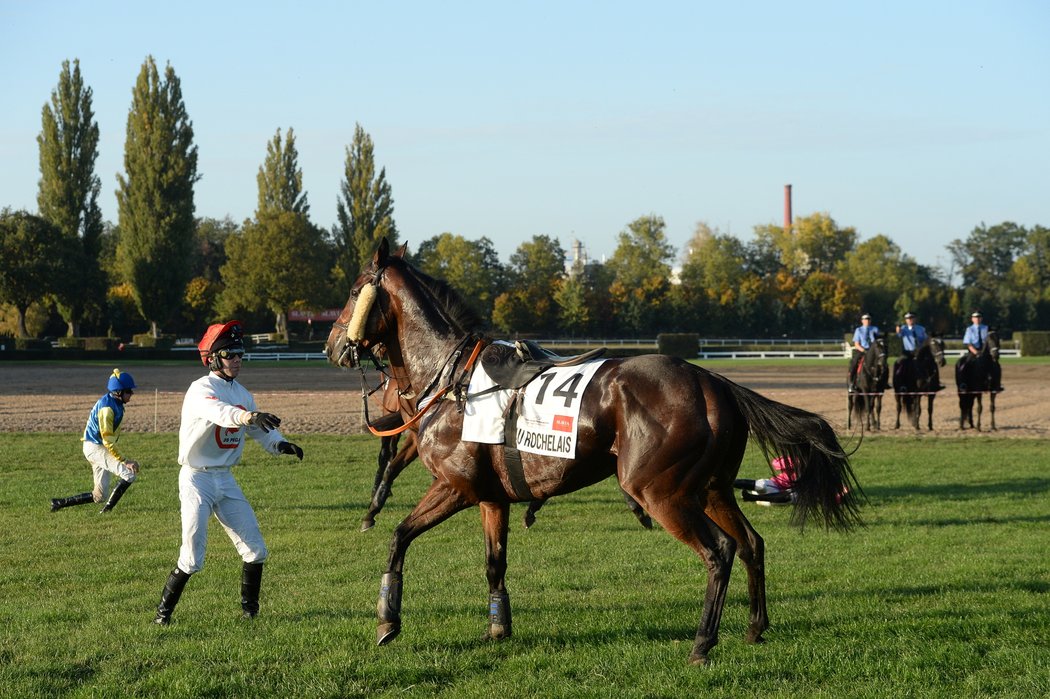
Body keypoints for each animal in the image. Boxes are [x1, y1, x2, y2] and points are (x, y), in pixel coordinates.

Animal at [325, 241, 860, 663]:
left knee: (719, 551)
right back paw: (754, 627)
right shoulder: (492, 497)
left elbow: (399, 537)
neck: (452, 381)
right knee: (751, 543)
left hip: (660, 493)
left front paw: (387, 620)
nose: (332, 345)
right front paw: (498, 627)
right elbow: (494, 563)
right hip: (712, 489)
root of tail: (713, 383)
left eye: (353, 292)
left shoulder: (455, 487)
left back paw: (703, 642)